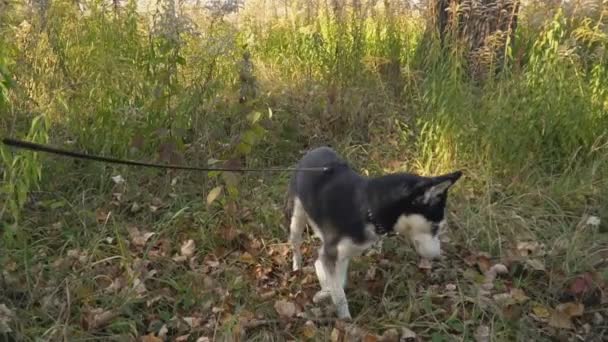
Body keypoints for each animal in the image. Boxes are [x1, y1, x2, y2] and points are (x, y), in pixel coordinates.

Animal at [284, 147, 460, 320]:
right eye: (435, 227)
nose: (437, 256)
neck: (367, 208)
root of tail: (316, 149)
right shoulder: (331, 253)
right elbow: (338, 292)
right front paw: (345, 320)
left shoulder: (342, 255)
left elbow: (337, 282)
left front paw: (324, 290)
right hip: (297, 219)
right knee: (295, 245)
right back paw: (297, 266)